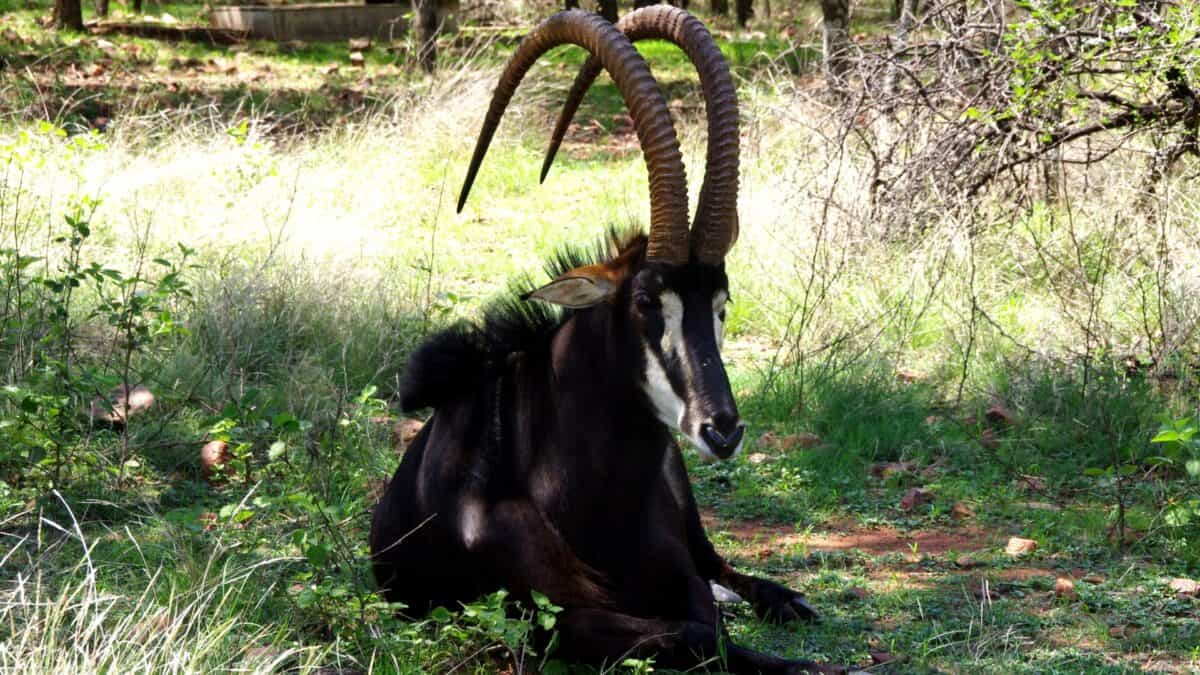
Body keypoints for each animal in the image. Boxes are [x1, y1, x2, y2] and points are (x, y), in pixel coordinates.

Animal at [371, 8, 841, 673]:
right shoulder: (542, 621)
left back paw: (786, 599)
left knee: (720, 565)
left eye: (722, 305)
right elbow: (695, 636)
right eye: (646, 301)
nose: (722, 429)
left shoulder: (680, 578)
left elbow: (710, 623)